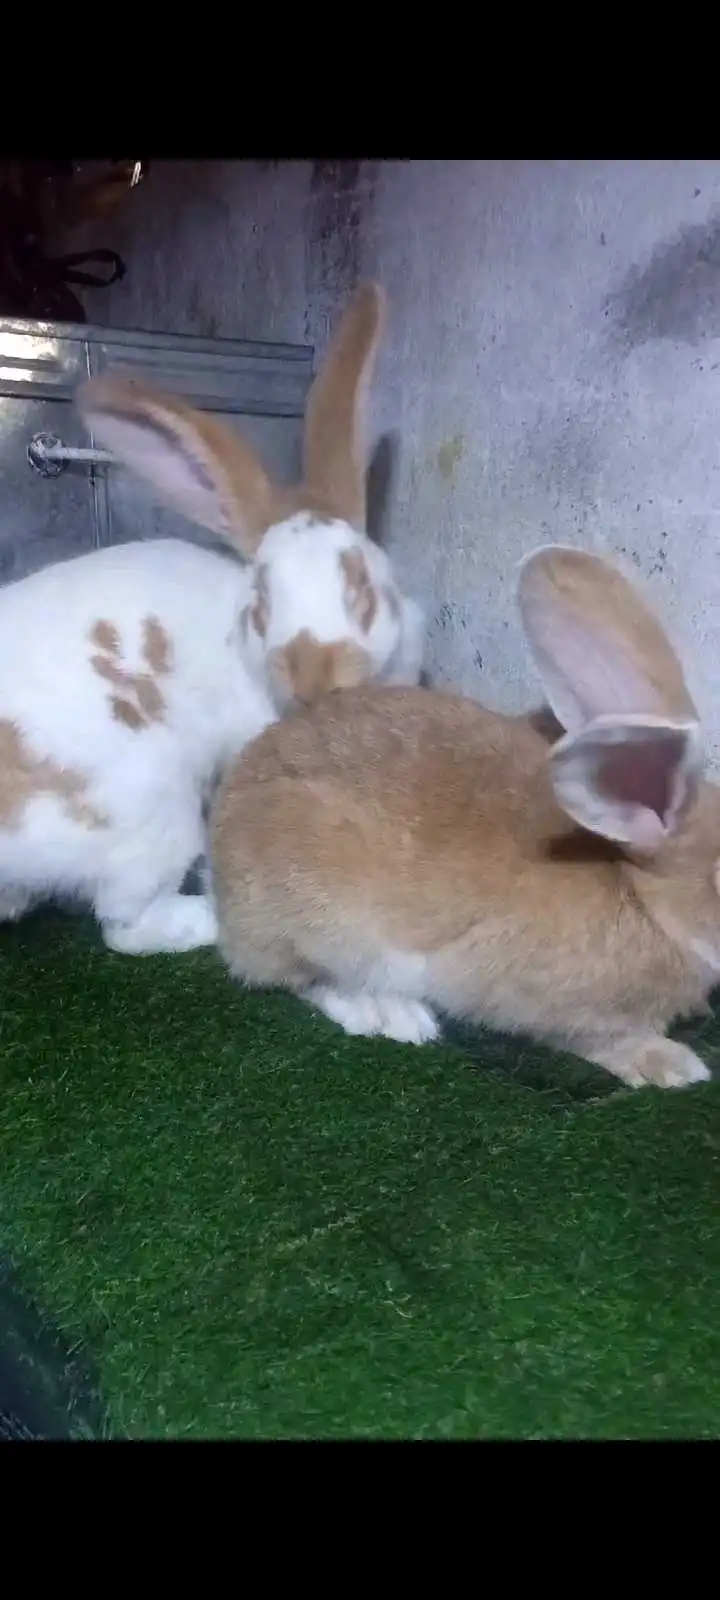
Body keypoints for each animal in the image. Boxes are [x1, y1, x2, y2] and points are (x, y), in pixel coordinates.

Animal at [0, 284, 423, 956]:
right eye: (261, 606)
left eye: (362, 590)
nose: (313, 677)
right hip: (153, 806)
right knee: (125, 925)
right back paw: (210, 915)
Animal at [209, 543, 719, 1092]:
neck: (644, 897)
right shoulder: (542, 1002)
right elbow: (592, 1038)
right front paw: (670, 1064)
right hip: (323, 920)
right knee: (303, 978)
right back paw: (390, 1013)